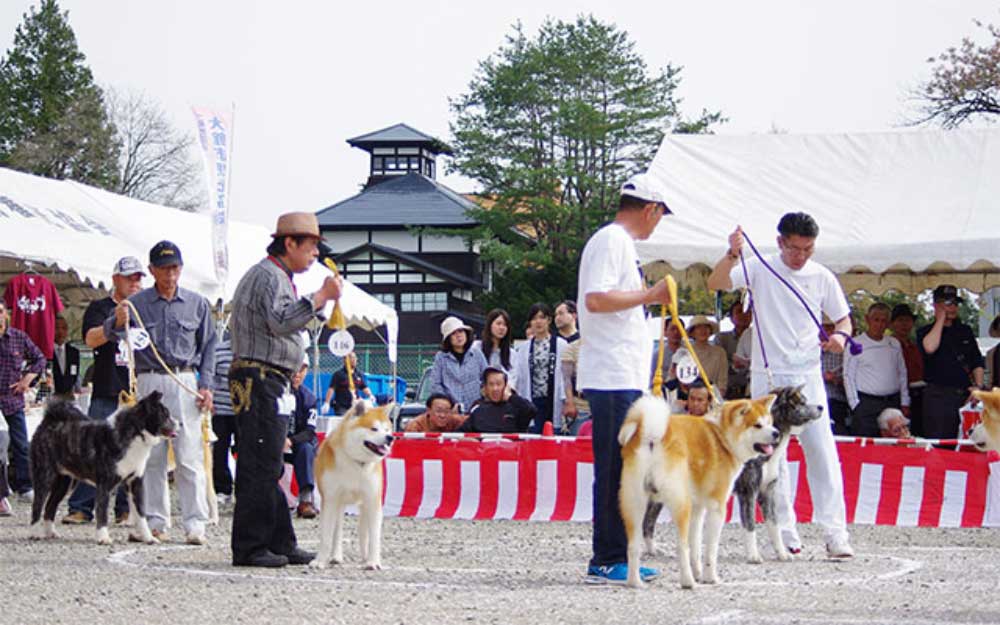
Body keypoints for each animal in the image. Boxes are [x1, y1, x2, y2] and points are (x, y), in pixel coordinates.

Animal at [29, 392, 178, 544]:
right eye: (165, 414)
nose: (180, 423)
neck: (134, 433)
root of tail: (49, 421)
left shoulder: (135, 483)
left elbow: (141, 514)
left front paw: (148, 537)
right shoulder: (104, 484)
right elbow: (102, 512)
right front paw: (103, 537)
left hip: (65, 482)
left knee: (49, 506)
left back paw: (51, 533)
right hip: (44, 476)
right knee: (37, 505)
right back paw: (35, 533)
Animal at [308, 400, 394, 572]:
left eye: (387, 429)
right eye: (374, 428)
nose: (390, 438)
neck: (356, 462)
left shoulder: (373, 500)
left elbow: (374, 537)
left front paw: (373, 562)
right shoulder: (330, 499)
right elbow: (326, 536)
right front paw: (320, 561)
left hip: (364, 505)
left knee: (363, 533)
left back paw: (365, 558)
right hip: (339, 504)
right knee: (337, 530)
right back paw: (336, 556)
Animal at [616, 392, 780, 588]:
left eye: (770, 421)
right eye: (757, 425)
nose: (777, 433)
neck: (722, 436)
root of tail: (653, 436)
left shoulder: (698, 509)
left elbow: (695, 547)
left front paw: (699, 573)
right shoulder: (717, 507)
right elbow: (710, 550)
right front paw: (710, 578)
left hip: (635, 503)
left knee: (633, 546)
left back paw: (635, 582)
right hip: (680, 503)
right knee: (681, 546)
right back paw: (688, 582)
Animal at [736, 382, 820, 564]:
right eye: (802, 402)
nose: (821, 407)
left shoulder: (767, 492)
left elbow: (774, 526)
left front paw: (782, 553)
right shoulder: (748, 492)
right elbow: (750, 525)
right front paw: (753, 555)